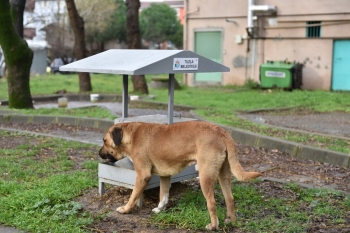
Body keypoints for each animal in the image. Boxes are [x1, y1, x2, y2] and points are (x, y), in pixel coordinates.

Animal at [98, 121, 260, 230]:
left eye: (104, 141)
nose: (98, 154)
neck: (131, 135)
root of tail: (222, 132)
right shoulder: (165, 176)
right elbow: (163, 196)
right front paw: (159, 210)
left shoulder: (142, 175)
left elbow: (133, 196)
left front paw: (125, 209)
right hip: (223, 175)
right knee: (230, 199)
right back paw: (231, 221)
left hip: (205, 177)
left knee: (212, 203)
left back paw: (213, 226)